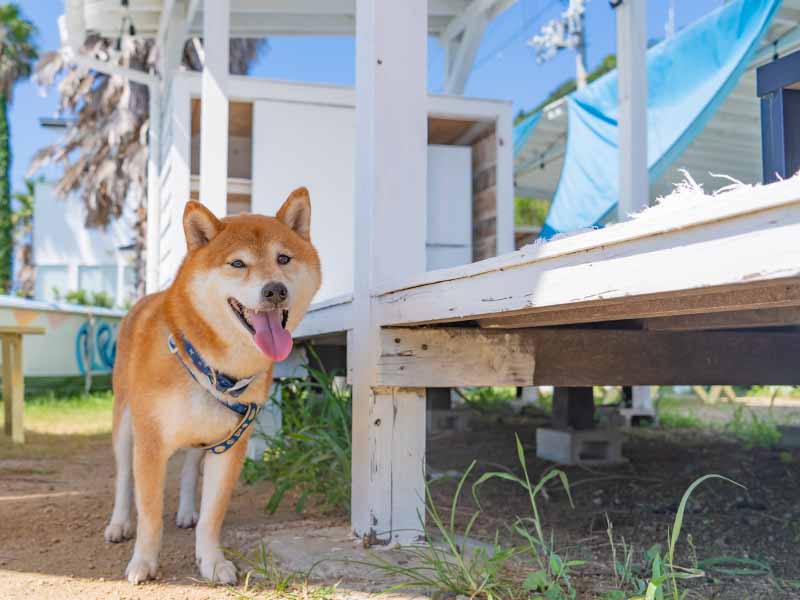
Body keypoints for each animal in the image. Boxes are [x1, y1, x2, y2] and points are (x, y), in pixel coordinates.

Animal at [104, 189, 320, 584]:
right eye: (237, 264)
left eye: (283, 258)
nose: (275, 290)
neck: (214, 369)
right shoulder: (151, 443)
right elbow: (150, 514)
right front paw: (143, 562)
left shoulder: (231, 446)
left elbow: (212, 515)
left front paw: (212, 561)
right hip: (125, 422)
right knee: (124, 477)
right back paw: (119, 523)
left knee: (191, 467)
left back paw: (187, 511)